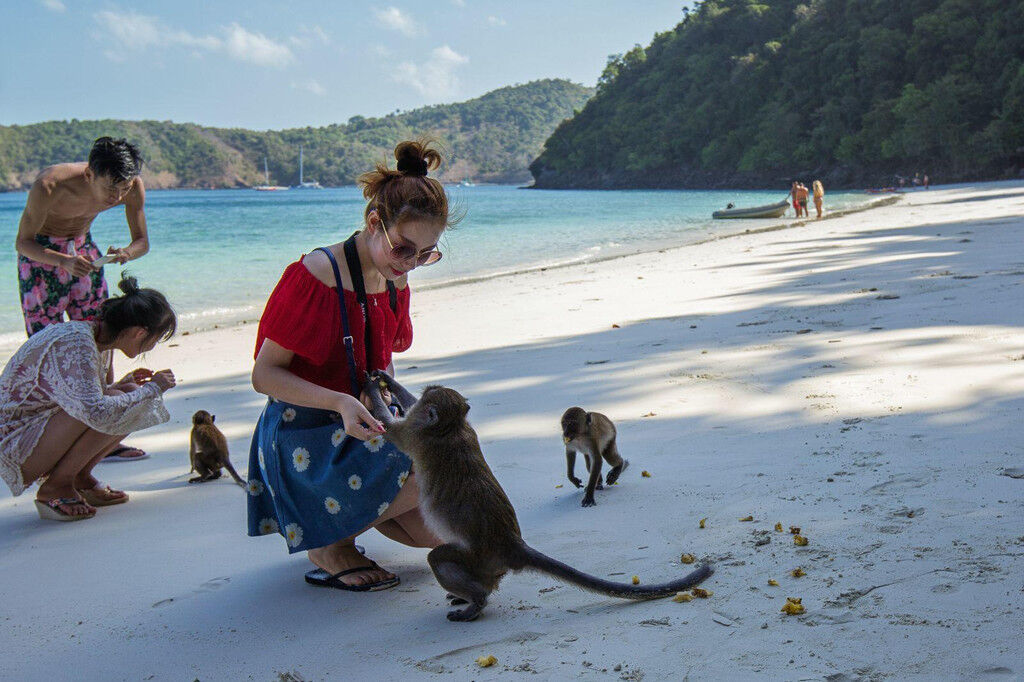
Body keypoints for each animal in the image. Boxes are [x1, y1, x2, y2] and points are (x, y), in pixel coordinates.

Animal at [366, 372, 712, 622]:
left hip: (478, 557)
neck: (450, 429)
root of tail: (511, 545)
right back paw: (471, 595)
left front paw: (371, 389)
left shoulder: (415, 434)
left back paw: (476, 601)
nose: (430, 388)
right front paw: (385, 380)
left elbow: (390, 428)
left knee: (438, 558)